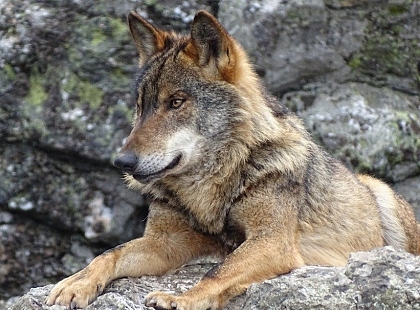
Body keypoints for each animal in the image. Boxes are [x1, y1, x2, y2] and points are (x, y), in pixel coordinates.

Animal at [46, 9, 420, 310]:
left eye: (176, 102)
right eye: (141, 106)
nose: (121, 162)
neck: (210, 189)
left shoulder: (272, 242)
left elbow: (217, 271)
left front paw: (180, 299)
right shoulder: (163, 243)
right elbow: (110, 253)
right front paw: (76, 283)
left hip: (382, 195)